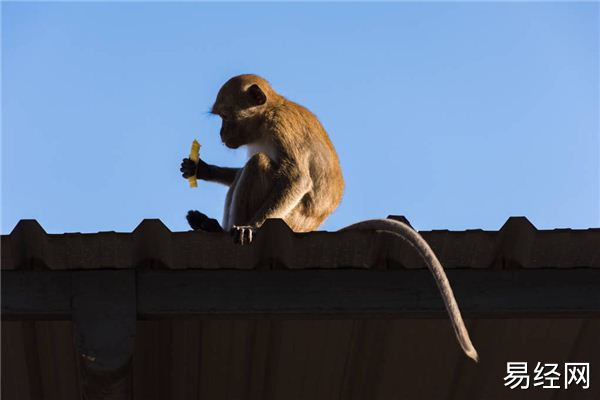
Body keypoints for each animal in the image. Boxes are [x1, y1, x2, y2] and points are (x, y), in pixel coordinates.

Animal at [180, 74, 480, 362]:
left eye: (225, 116)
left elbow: (297, 178)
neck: (269, 111)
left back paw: (223, 228)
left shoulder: (281, 128)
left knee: (259, 164)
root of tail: (311, 228)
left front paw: (251, 226)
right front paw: (201, 168)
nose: (221, 133)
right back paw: (210, 226)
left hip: (292, 220)